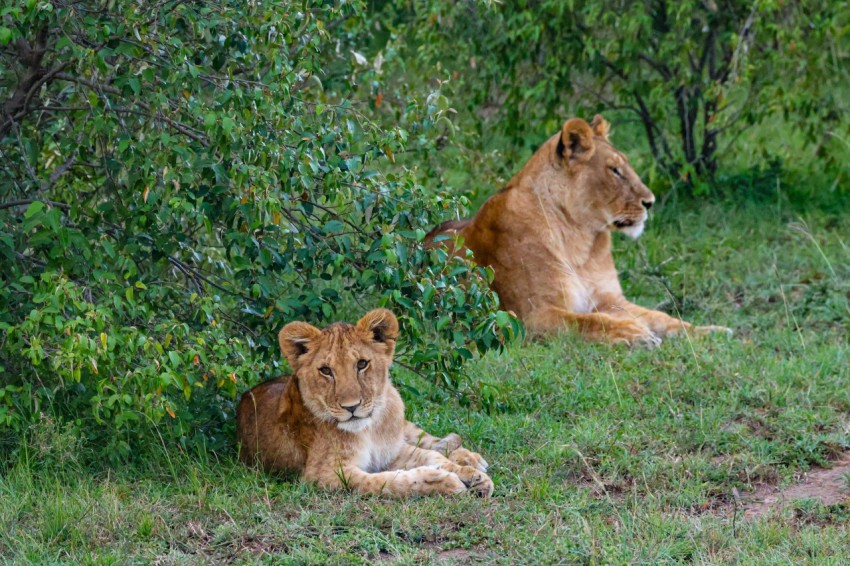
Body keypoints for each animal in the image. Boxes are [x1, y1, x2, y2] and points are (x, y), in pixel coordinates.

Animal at [236, 309, 494, 497]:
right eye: (326, 371)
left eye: (362, 364)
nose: (351, 407)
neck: (368, 431)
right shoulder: (323, 474)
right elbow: (388, 481)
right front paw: (443, 481)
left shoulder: (392, 451)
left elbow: (431, 456)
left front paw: (471, 475)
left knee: (431, 440)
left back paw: (472, 459)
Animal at [426, 115, 729, 346]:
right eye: (614, 170)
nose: (650, 202)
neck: (581, 239)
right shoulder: (529, 317)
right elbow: (587, 322)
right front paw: (634, 333)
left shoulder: (611, 299)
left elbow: (661, 318)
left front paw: (710, 332)